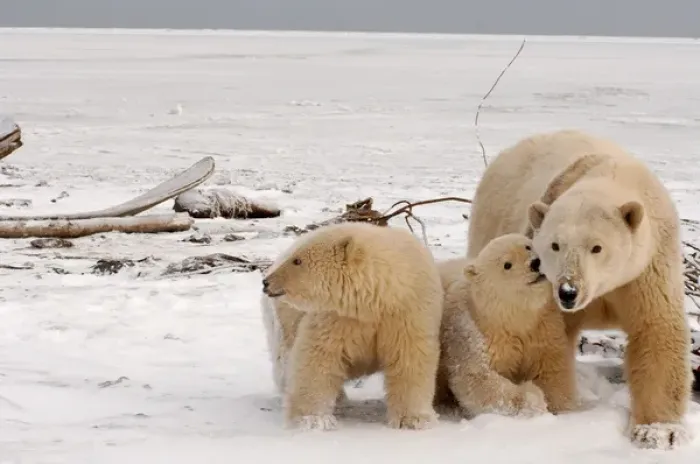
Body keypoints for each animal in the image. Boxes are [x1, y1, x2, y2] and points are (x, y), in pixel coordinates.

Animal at [260, 221, 444, 431]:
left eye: (297, 261)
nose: (266, 282)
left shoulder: (407, 312)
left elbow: (410, 357)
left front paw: (415, 419)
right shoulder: (338, 317)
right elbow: (318, 356)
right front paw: (313, 420)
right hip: (283, 321)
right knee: (285, 359)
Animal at [438, 233, 578, 415]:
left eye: (528, 246)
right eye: (507, 264)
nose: (535, 263)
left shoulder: (543, 328)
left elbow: (552, 368)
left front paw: (563, 408)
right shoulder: (474, 334)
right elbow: (479, 378)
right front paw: (532, 398)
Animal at [465, 129, 693, 450]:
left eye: (597, 247)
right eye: (554, 245)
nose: (568, 291)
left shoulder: (649, 265)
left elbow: (656, 329)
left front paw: (659, 432)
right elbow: (551, 338)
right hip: (491, 223)